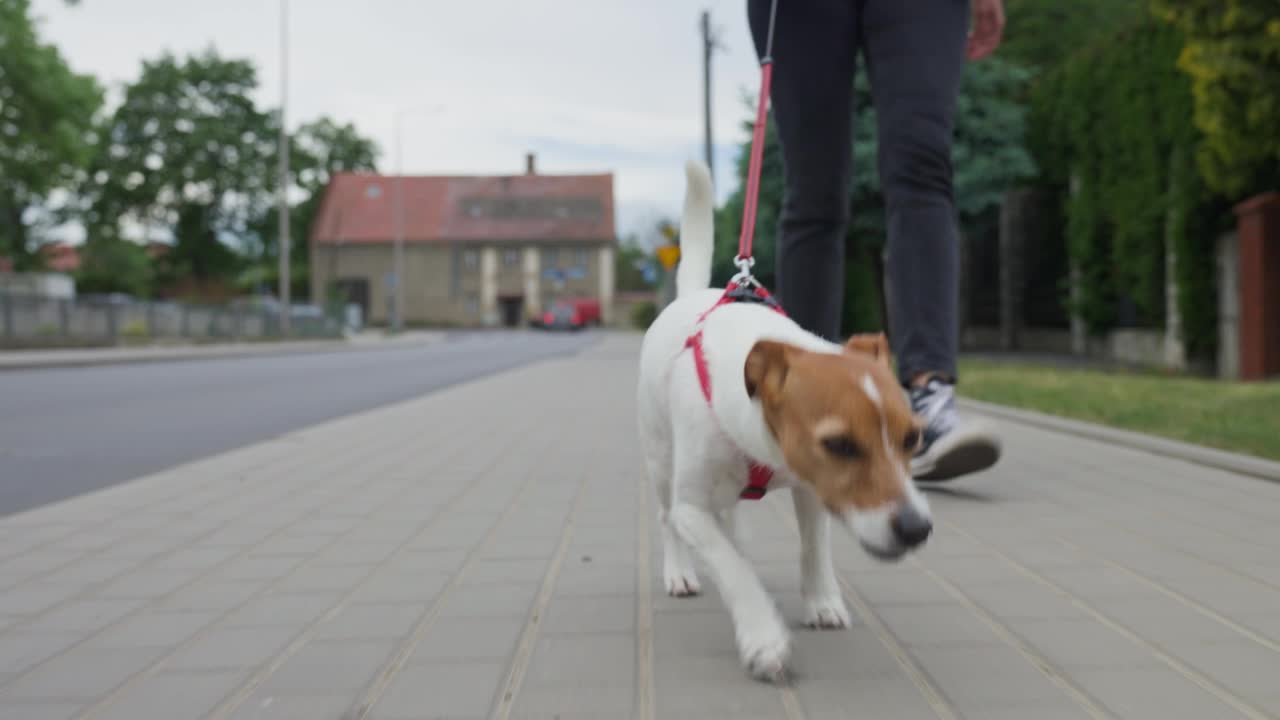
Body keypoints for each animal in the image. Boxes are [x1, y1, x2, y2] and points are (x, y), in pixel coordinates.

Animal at [637, 159, 931, 681]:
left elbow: (813, 548)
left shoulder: (811, 489)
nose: (917, 529)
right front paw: (763, 638)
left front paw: (822, 602)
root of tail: (687, 298)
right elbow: (731, 569)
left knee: (730, 524)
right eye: (839, 444)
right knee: (668, 519)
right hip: (661, 464)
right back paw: (681, 572)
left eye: (912, 438)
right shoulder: (693, 508)